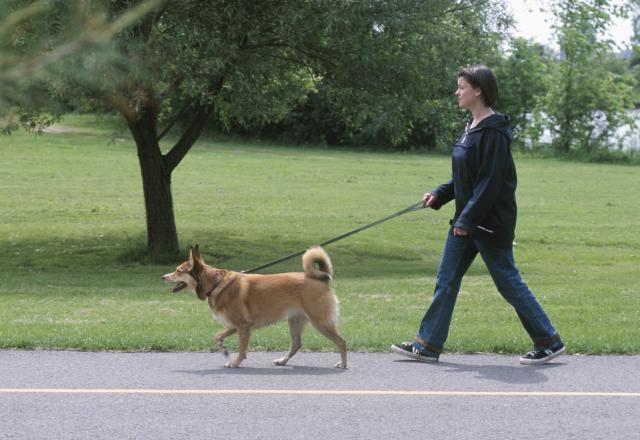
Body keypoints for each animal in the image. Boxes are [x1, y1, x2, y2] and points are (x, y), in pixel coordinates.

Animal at [162, 246, 348, 370]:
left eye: (178, 270)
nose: (163, 277)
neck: (215, 283)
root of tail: (321, 278)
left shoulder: (243, 326)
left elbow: (242, 349)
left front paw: (235, 363)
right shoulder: (234, 325)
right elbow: (217, 336)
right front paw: (224, 350)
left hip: (320, 321)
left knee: (341, 342)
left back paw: (344, 364)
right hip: (295, 321)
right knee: (296, 344)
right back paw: (283, 361)